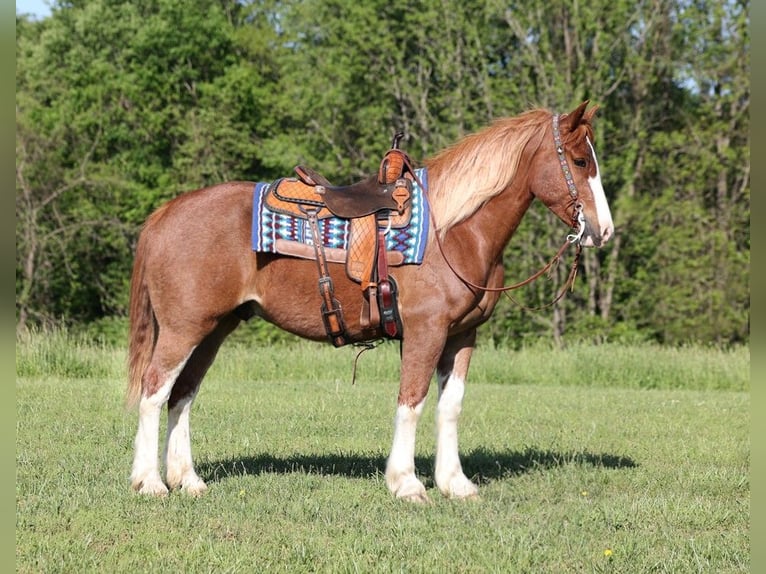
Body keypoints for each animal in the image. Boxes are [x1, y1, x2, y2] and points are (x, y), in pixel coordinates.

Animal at [126, 101, 616, 502]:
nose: (604, 230)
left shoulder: (461, 336)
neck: (454, 231)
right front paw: (407, 484)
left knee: (182, 395)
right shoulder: (425, 332)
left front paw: (454, 484)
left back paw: (187, 480)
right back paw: (150, 482)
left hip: (213, 329)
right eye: (579, 160)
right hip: (184, 329)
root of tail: (165, 214)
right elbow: (412, 402)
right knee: (154, 392)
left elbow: (450, 407)